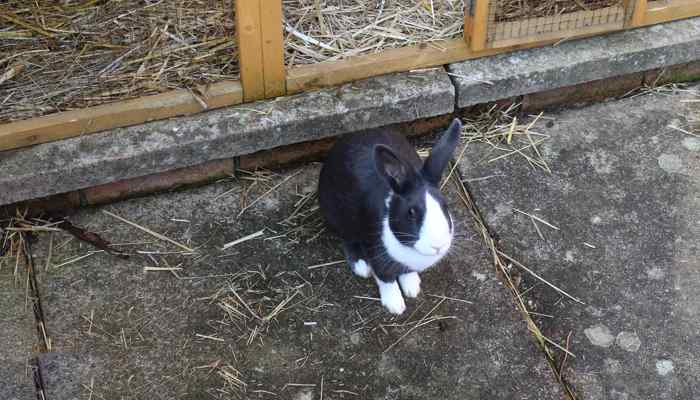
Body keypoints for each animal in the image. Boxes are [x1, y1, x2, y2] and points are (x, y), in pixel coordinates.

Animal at [318, 118, 462, 314]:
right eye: (411, 212)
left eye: (445, 206)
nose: (438, 246)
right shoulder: (376, 254)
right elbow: (385, 278)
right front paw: (395, 305)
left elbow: (406, 272)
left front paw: (412, 288)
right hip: (337, 216)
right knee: (347, 238)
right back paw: (361, 266)